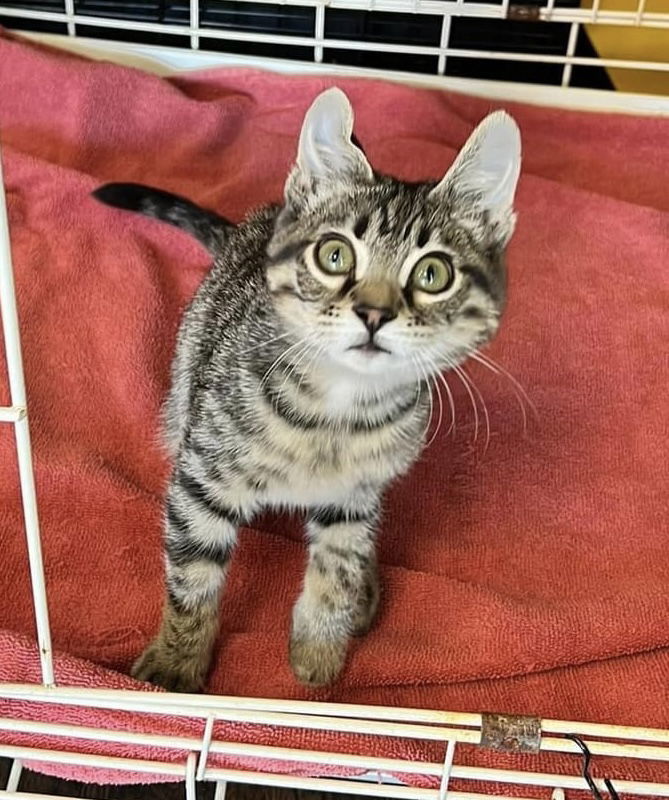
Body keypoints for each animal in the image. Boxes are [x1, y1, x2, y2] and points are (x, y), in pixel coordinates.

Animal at [94, 86, 520, 688]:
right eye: (334, 255)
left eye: (433, 273)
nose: (373, 313)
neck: (337, 411)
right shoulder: (201, 479)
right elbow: (193, 576)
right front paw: (176, 665)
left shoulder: (351, 498)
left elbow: (336, 565)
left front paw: (319, 648)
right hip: (184, 394)